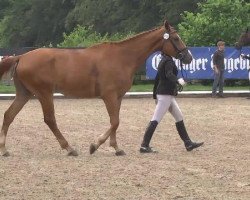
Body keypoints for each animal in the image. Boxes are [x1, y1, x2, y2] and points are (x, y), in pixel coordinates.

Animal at [0, 21, 191, 157]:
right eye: (175, 38)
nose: (188, 57)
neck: (123, 57)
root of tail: (21, 56)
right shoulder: (109, 96)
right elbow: (115, 122)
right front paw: (95, 146)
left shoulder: (118, 97)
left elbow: (115, 121)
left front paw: (116, 148)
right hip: (44, 93)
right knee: (50, 120)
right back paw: (69, 148)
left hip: (25, 93)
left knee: (9, 115)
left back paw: (4, 149)